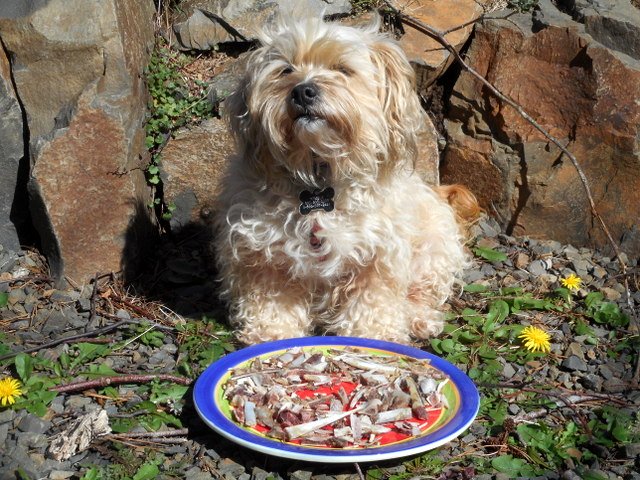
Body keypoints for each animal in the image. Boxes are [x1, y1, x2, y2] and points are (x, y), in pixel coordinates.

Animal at [218, 15, 478, 344]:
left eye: (343, 70)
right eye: (286, 70)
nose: (302, 91)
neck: (319, 177)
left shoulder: (378, 256)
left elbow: (371, 303)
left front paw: (370, 336)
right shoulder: (263, 254)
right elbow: (272, 301)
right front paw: (274, 334)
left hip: (435, 247)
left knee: (422, 292)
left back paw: (419, 319)